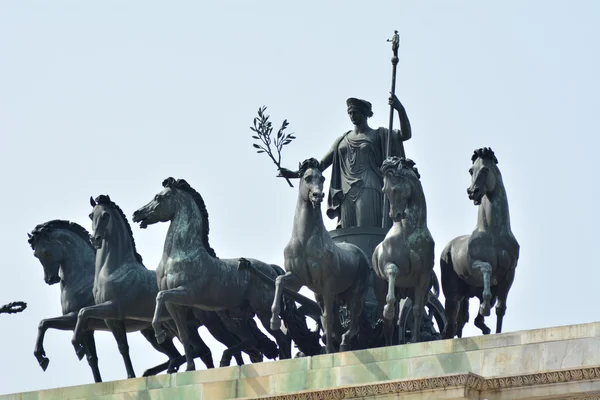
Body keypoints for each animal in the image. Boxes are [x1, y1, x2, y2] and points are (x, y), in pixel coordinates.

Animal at [270, 159, 370, 354]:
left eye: (322, 178)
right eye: (307, 177)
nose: (318, 196)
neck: (304, 240)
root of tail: (360, 252)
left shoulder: (327, 285)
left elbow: (328, 319)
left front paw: (329, 351)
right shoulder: (299, 280)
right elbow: (279, 281)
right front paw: (275, 320)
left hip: (354, 293)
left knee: (353, 322)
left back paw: (343, 343)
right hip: (330, 295)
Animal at [372, 156, 434, 344]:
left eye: (395, 189)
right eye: (384, 190)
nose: (395, 216)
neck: (410, 230)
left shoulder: (423, 279)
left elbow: (417, 310)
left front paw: (414, 340)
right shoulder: (389, 266)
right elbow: (392, 271)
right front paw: (389, 309)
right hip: (381, 292)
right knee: (388, 324)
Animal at [440, 147, 520, 338]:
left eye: (484, 170)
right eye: (471, 170)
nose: (472, 192)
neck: (494, 234)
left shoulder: (509, 275)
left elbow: (500, 309)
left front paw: (496, 331)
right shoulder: (475, 266)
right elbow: (486, 268)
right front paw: (484, 307)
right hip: (452, 294)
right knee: (450, 324)